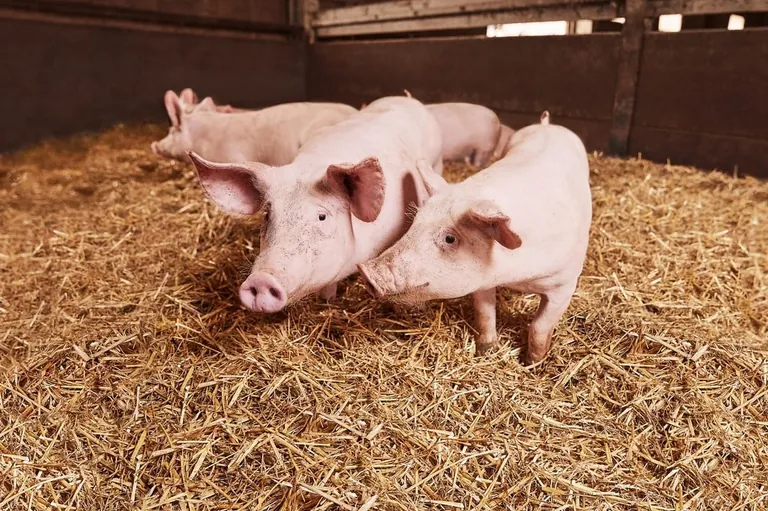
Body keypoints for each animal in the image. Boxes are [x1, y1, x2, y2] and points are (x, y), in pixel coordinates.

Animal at [187, 96, 444, 312]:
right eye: (268, 214)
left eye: (322, 216)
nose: (261, 280)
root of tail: (407, 98)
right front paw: (327, 300)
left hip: (437, 162)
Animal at [357, 111, 592, 364]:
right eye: (415, 222)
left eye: (450, 239)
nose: (366, 271)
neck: (515, 277)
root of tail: (547, 125)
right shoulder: (482, 280)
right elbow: (484, 313)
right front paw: (485, 351)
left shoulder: (565, 283)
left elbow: (540, 326)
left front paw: (531, 363)